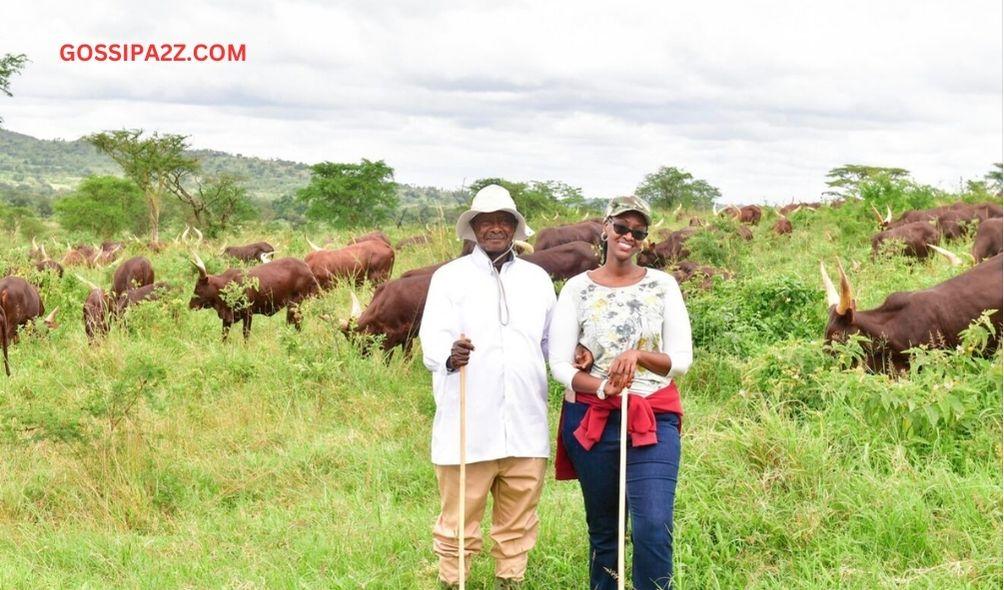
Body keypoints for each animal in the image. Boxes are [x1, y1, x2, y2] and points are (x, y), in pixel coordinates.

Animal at [186, 254, 315, 341]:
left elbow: (246, 334)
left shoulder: (248, 313)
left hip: (294, 303)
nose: (190, 305)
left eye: (198, 287)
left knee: (295, 321)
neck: (226, 285)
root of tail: (307, 268)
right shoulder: (227, 317)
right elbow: (224, 335)